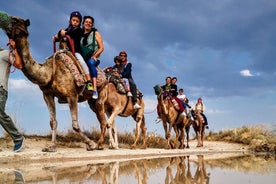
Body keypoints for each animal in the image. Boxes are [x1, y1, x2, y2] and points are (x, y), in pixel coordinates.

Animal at [0, 13, 96, 152]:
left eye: (15, 20)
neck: (49, 73)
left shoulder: (72, 95)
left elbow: (75, 125)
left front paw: (91, 144)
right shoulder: (47, 95)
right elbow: (53, 122)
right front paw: (51, 146)